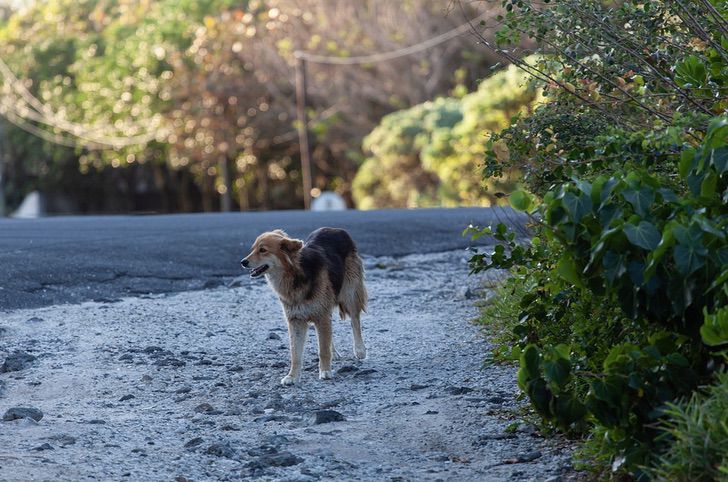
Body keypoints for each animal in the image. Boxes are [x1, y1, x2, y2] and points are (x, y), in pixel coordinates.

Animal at [242, 228, 366, 386]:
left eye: (263, 250)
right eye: (253, 249)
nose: (243, 262)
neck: (295, 274)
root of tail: (335, 229)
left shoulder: (321, 315)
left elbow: (323, 349)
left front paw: (325, 371)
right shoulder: (296, 320)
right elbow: (295, 353)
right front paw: (292, 376)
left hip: (349, 293)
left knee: (355, 321)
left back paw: (360, 350)